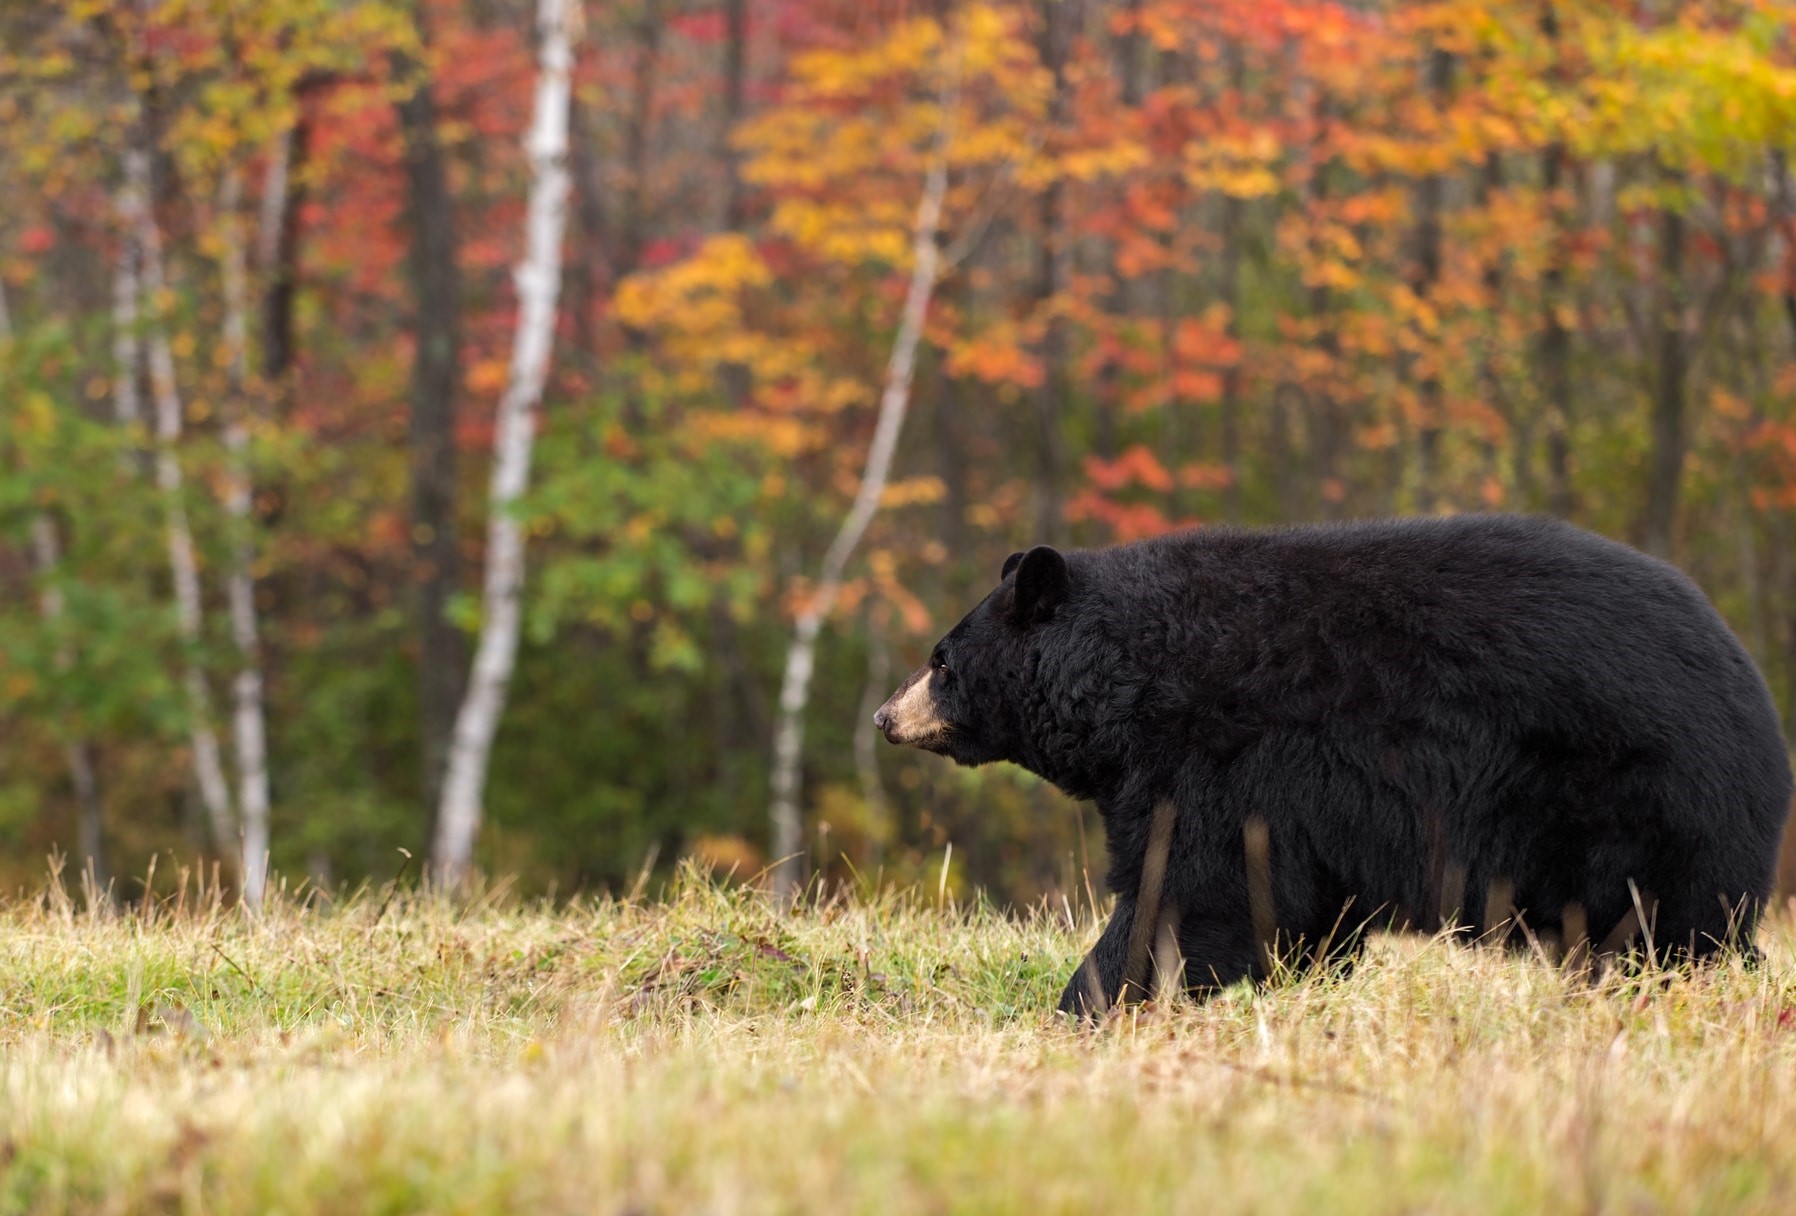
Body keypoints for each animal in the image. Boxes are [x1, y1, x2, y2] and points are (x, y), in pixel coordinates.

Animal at [876, 513, 1788, 1013]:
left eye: (942, 660)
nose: (887, 716)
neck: (1130, 678)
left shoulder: (1222, 758)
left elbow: (1193, 890)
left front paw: (1090, 1001)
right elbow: (1292, 908)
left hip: (1632, 800)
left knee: (1667, 923)